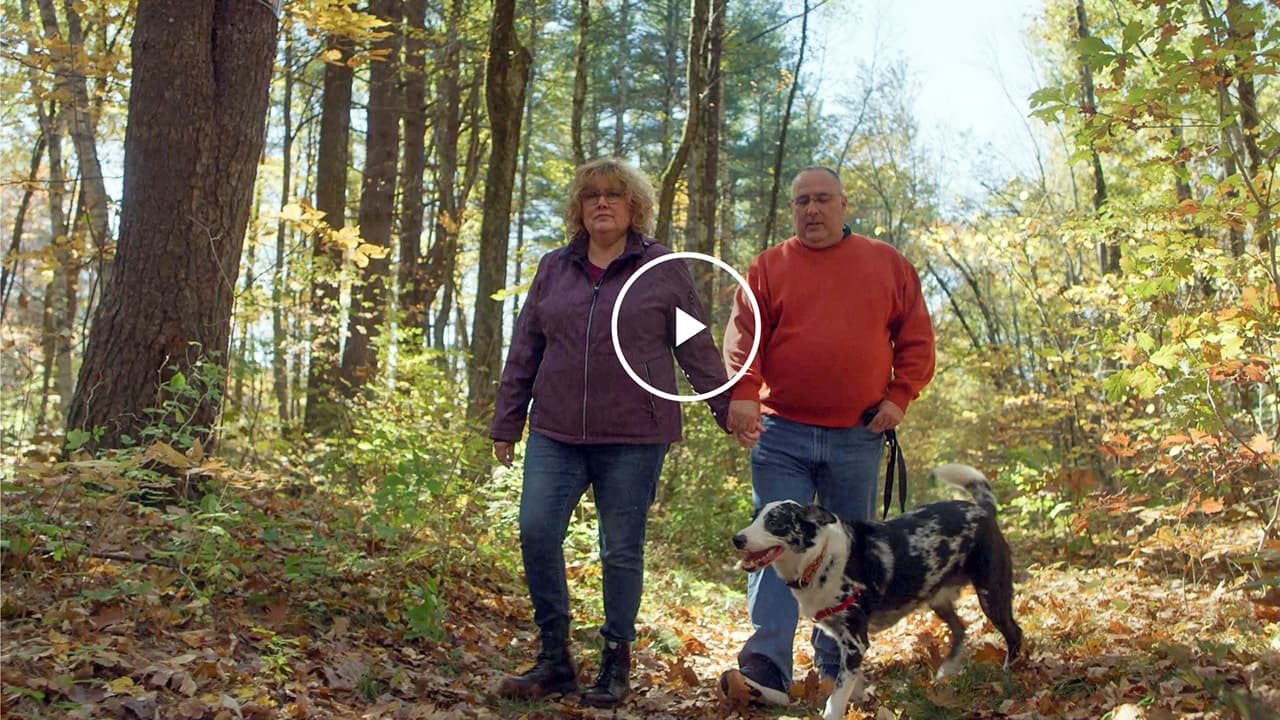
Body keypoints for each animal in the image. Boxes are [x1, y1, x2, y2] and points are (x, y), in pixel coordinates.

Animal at [737, 461, 1024, 712]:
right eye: (754, 518)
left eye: (774, 521)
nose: (737, 539)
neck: (818, 559)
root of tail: (983, 510)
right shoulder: (843, 643)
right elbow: (849, 686)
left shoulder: (855, 643)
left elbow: (836, 699)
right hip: (938, 600)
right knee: (960, 629)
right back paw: (945, 672)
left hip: (991, 596)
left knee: (1015, 633)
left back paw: (1008, 674)